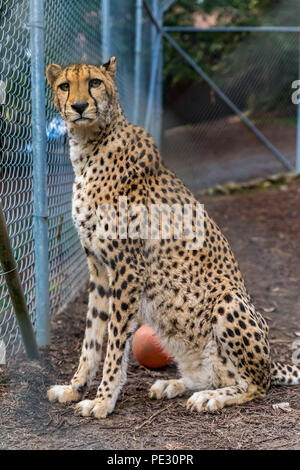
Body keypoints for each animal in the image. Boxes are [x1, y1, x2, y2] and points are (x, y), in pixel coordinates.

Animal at [45, 57, 298, 416]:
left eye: (94, 83)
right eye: (65, 86)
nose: (79, 106)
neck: (88, 146)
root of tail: (271, 360)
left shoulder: (127, 268)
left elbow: (115, 343)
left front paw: (104, 399)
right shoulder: (99, 269)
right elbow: (92, 337)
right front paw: (74, 388)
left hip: (229, 301)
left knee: (256, 385)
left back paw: (212, 397)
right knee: (212, 376)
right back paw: (175, 384)